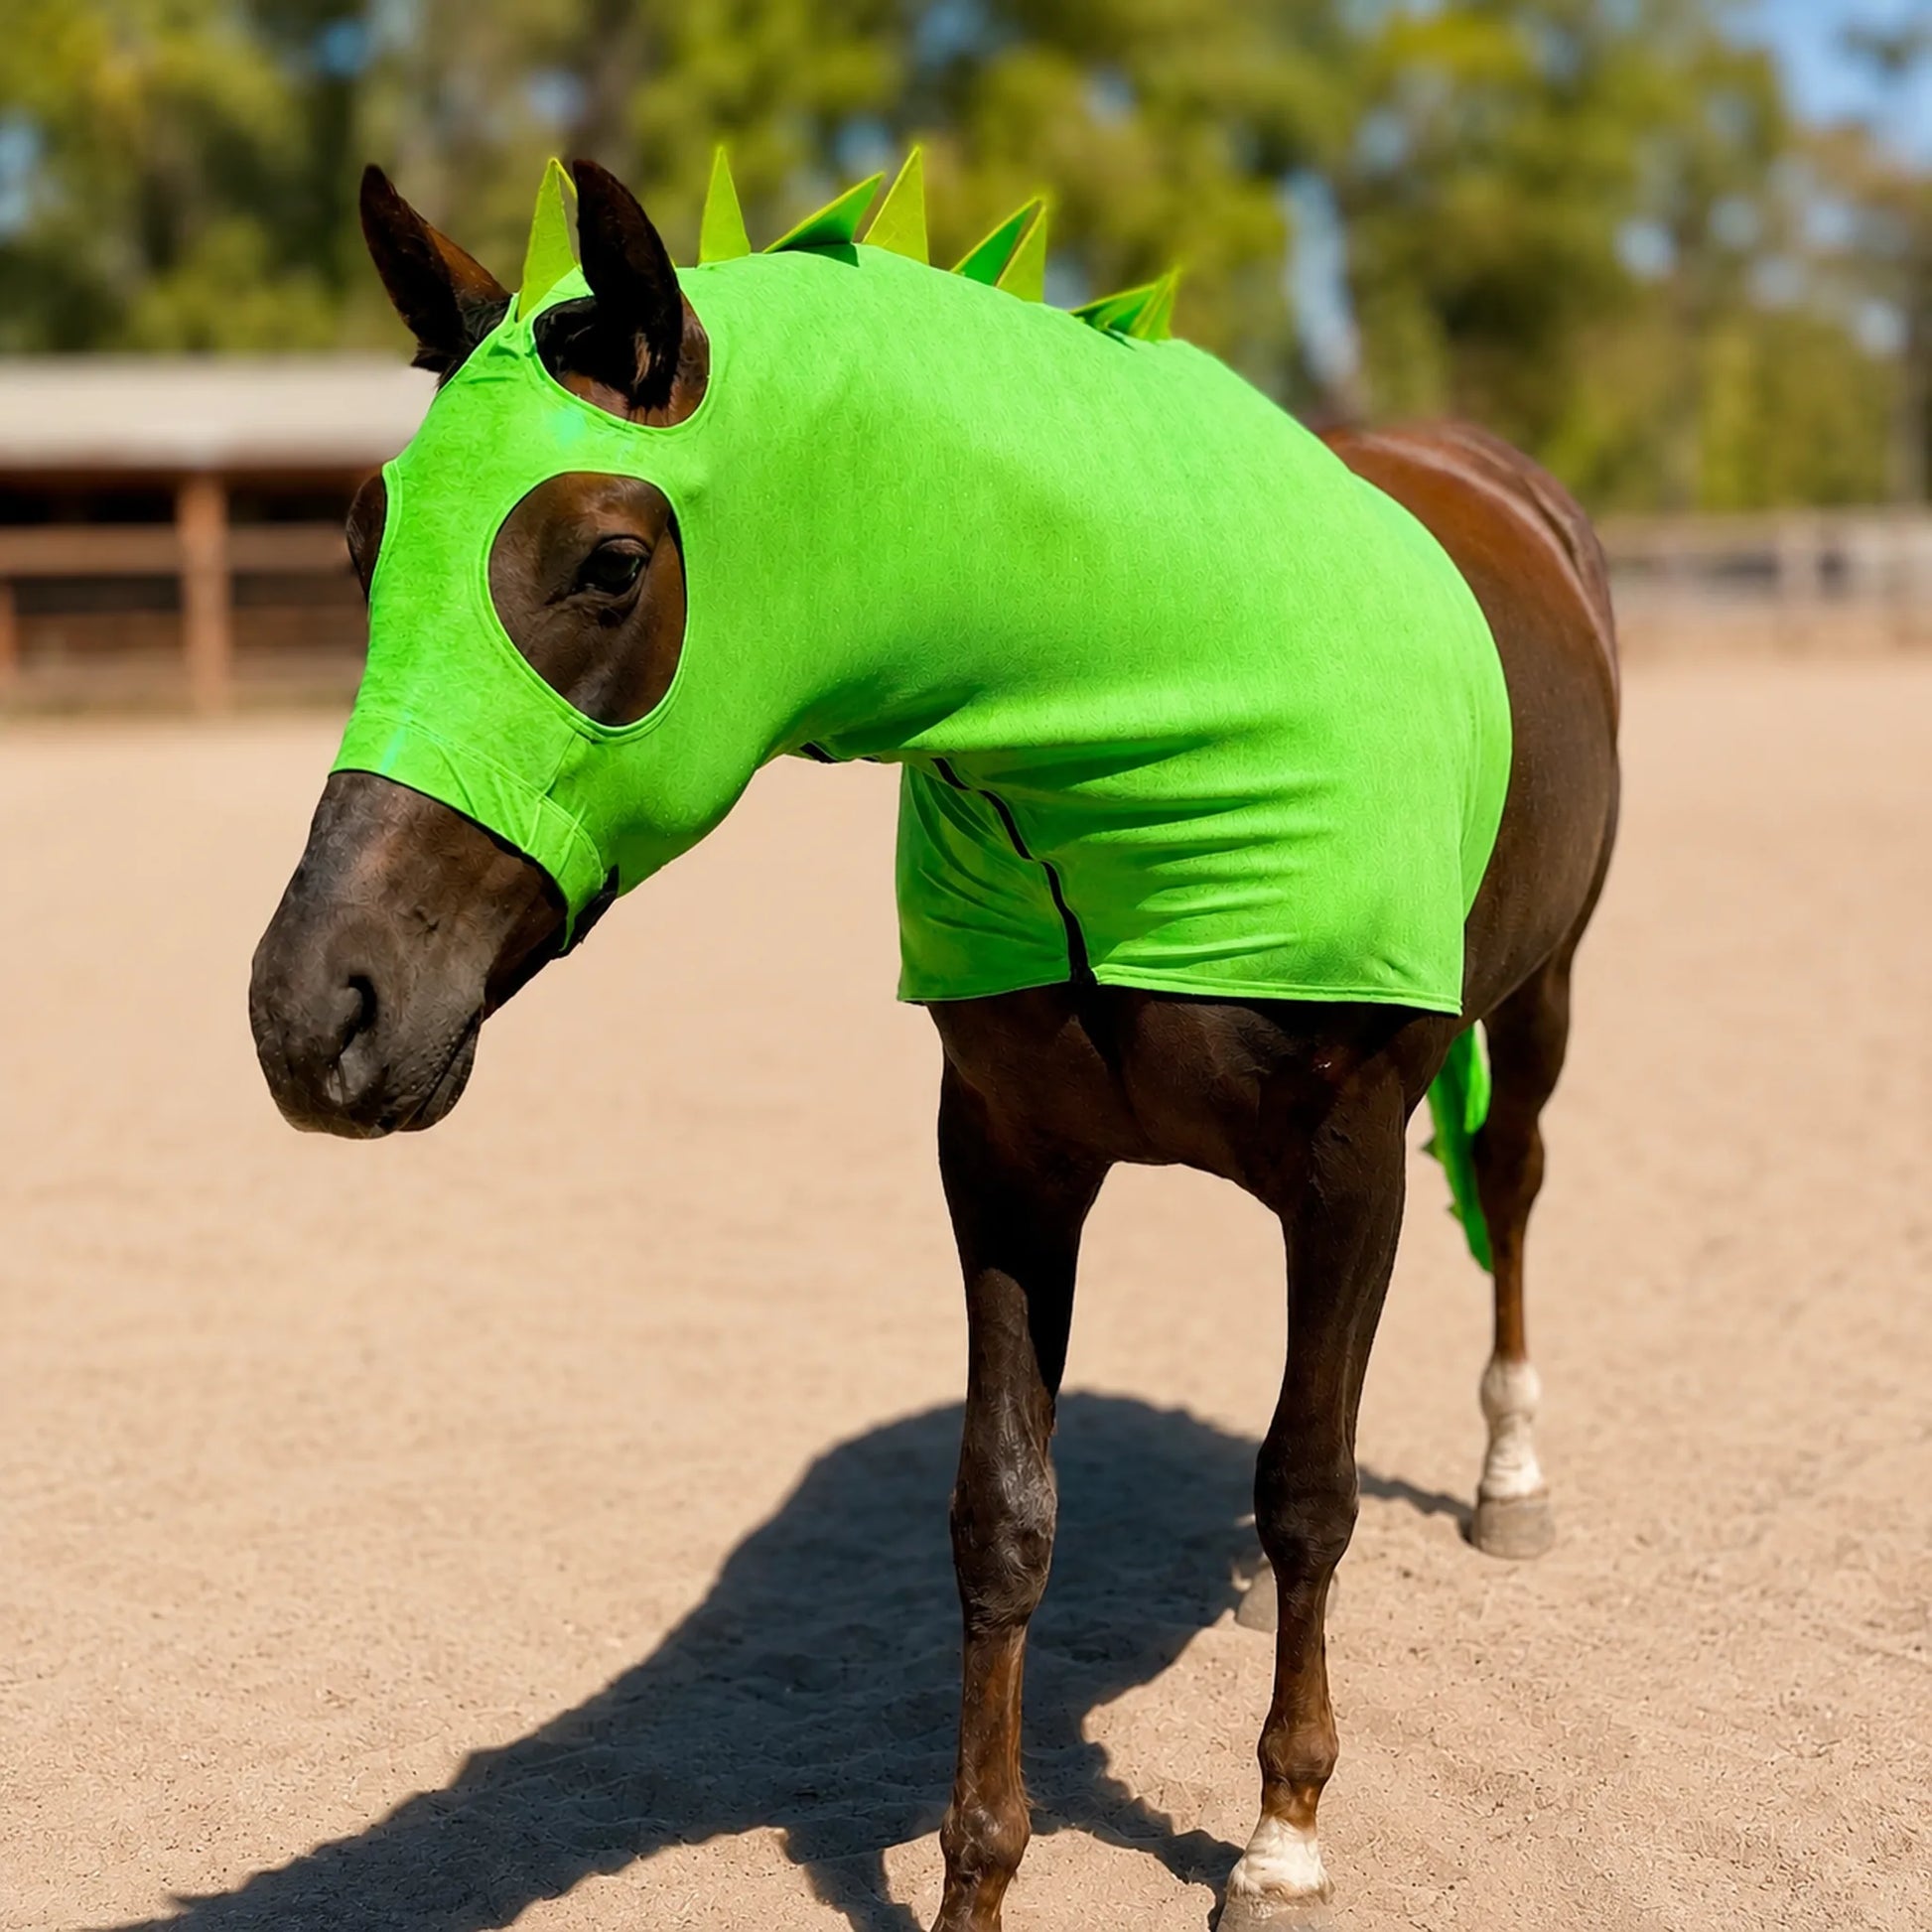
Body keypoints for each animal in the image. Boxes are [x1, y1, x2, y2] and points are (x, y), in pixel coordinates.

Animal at [249, 158, 1618, 1930]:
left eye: (610, 559)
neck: (1141, 712)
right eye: (366, 543)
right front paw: (975, 1874)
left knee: (1506, 1190)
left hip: (1538, 1000)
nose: (312, 1009)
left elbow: (1311, 1484)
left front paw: (1282, 1836)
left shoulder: (1347, 1162)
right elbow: (1005, 1515)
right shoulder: (1010, 1160)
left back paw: (1509, 1481)